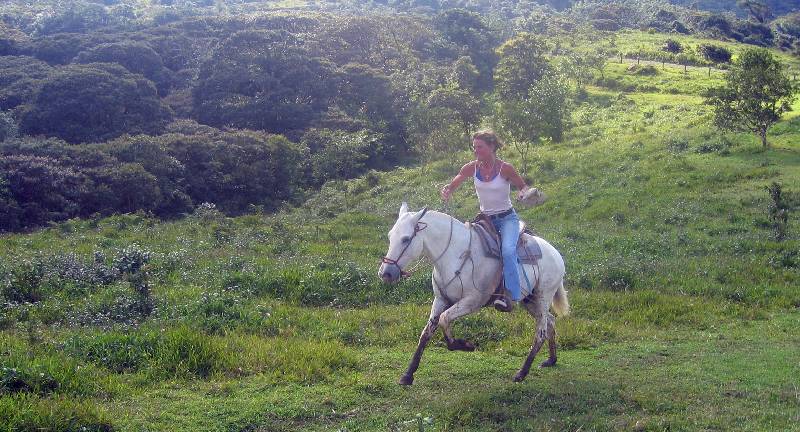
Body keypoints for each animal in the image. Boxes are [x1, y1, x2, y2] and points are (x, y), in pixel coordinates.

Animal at [376, 202, 568, 384]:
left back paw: (522, 373)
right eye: (390, 236)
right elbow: (426, 333)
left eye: (406, 239)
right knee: (550, 321)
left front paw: (464, 345)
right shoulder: (440, 300)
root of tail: (556, 254)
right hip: (529, 300)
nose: (385, 273)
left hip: (543, 298)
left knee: (540, 332)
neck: (456, 254)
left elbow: (444, 319)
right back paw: (551, 360)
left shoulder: (472, 301)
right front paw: (407, 375)